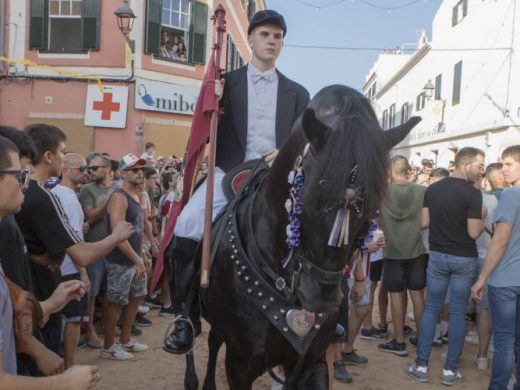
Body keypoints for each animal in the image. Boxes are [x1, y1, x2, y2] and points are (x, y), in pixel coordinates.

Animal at [181, 84, 420, 388]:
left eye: (370, 209)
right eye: (309, 198)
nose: (321, 299)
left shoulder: (311, 363)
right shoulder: (240, 365)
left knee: (214, 339)